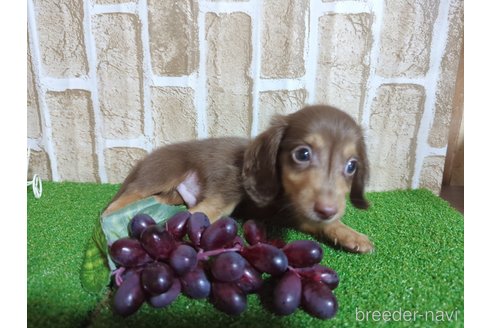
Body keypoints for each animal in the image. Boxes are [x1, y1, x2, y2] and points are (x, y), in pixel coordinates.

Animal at [104, 105, 372, 254]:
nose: (327, 209)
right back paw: (113, 216)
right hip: (163, 173)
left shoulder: (298, 214)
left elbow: (324, 224)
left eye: (351, 166)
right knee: (123, 198)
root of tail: (145, 160)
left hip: (171, 195)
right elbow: (207, 211)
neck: (282, 194)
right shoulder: (226, 190)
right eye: (302, 154)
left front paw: (351, 235)